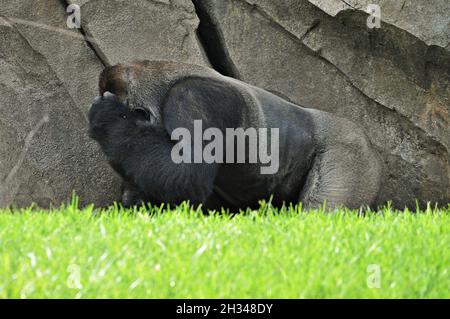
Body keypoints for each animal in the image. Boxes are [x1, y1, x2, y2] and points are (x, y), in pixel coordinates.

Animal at [89, 60, 384, 211]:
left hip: (351, 152)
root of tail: (371, 145)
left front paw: (109, 119)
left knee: (323, 210)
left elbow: (186, 173)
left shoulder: (193, 99)